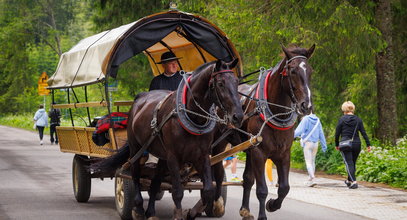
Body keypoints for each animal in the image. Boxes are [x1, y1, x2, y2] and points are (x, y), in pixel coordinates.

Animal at [210, 43, 316, 219]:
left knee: (246, 179)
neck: (272, 112)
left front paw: (272, 204)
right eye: (292, 70)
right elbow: (261, 190)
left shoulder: (283, 153)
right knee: (216, 171)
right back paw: (216, 203)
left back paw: (244, 209)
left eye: (310, 71)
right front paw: (263, 214)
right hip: (219, 142)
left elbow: (284, 187)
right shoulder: (259, 153)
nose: (306, 105)